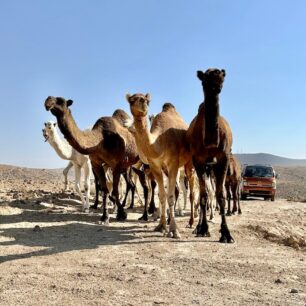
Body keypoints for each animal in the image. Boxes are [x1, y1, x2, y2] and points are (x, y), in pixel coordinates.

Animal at [126, 94, 196, 238]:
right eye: (131, 100)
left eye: (147, 100)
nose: (142, 103)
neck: (159, 143)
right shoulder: (155, 167)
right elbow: (162, 195)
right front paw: (161, 225)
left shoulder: (173, 164)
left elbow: (170, 196)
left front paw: (174, 230)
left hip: (188, 164)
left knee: (192, 191)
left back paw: (192, 222)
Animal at [186, 68, 234, 243]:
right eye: (204, 79)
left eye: (221, 77)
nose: (217, 86)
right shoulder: (197, 160)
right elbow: (203, 195)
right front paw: (203, 229)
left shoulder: (223, 158)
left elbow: (221, 196)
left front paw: (226, 233)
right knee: (202, 194)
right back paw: (198, 227)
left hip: (211, 168)